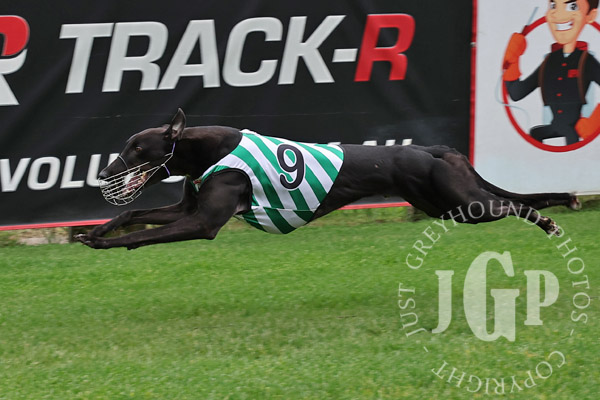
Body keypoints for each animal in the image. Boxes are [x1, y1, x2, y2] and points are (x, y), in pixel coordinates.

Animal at [77, 109, 580, 250]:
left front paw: (105, 244)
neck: (205, 150)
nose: (102, 174)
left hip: (465, 205)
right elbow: (136, 215)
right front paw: (95, 230)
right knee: (526, 199)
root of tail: (435, 150)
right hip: (447, 205)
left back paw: (549, 221)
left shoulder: (203, 222)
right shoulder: (186, 207)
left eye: (136, 149)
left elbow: (144, 234)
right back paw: (565, 203)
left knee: (517, 205)